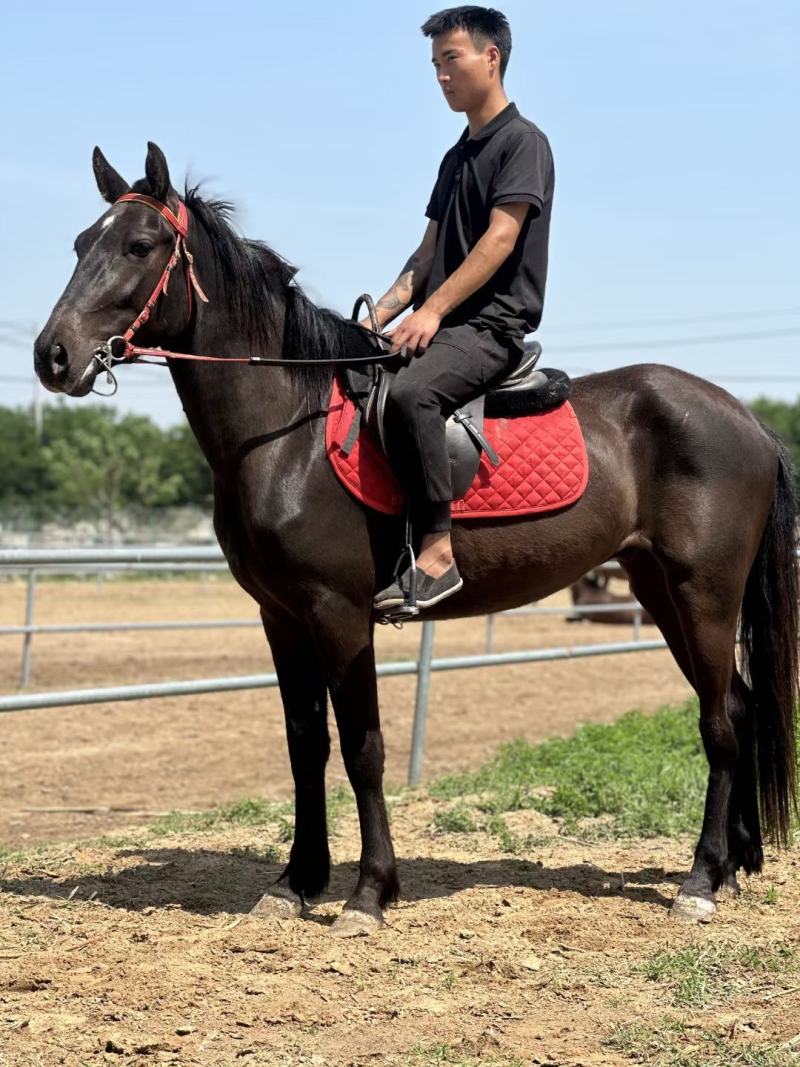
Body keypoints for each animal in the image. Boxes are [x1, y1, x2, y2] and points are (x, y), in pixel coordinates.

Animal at [33, 143, 798, 935]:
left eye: (139, 246)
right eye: (82, 245)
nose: (52, 357)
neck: (287, 432)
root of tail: (747, 420)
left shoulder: (339, 614)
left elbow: (363, 747)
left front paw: (369, 892)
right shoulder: (281, 616)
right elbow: (306, 743)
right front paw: (296, 881)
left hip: (704, 595)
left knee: (720, 720)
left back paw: (701, 880)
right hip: (660, 589)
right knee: (739, 705)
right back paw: (734, 864)